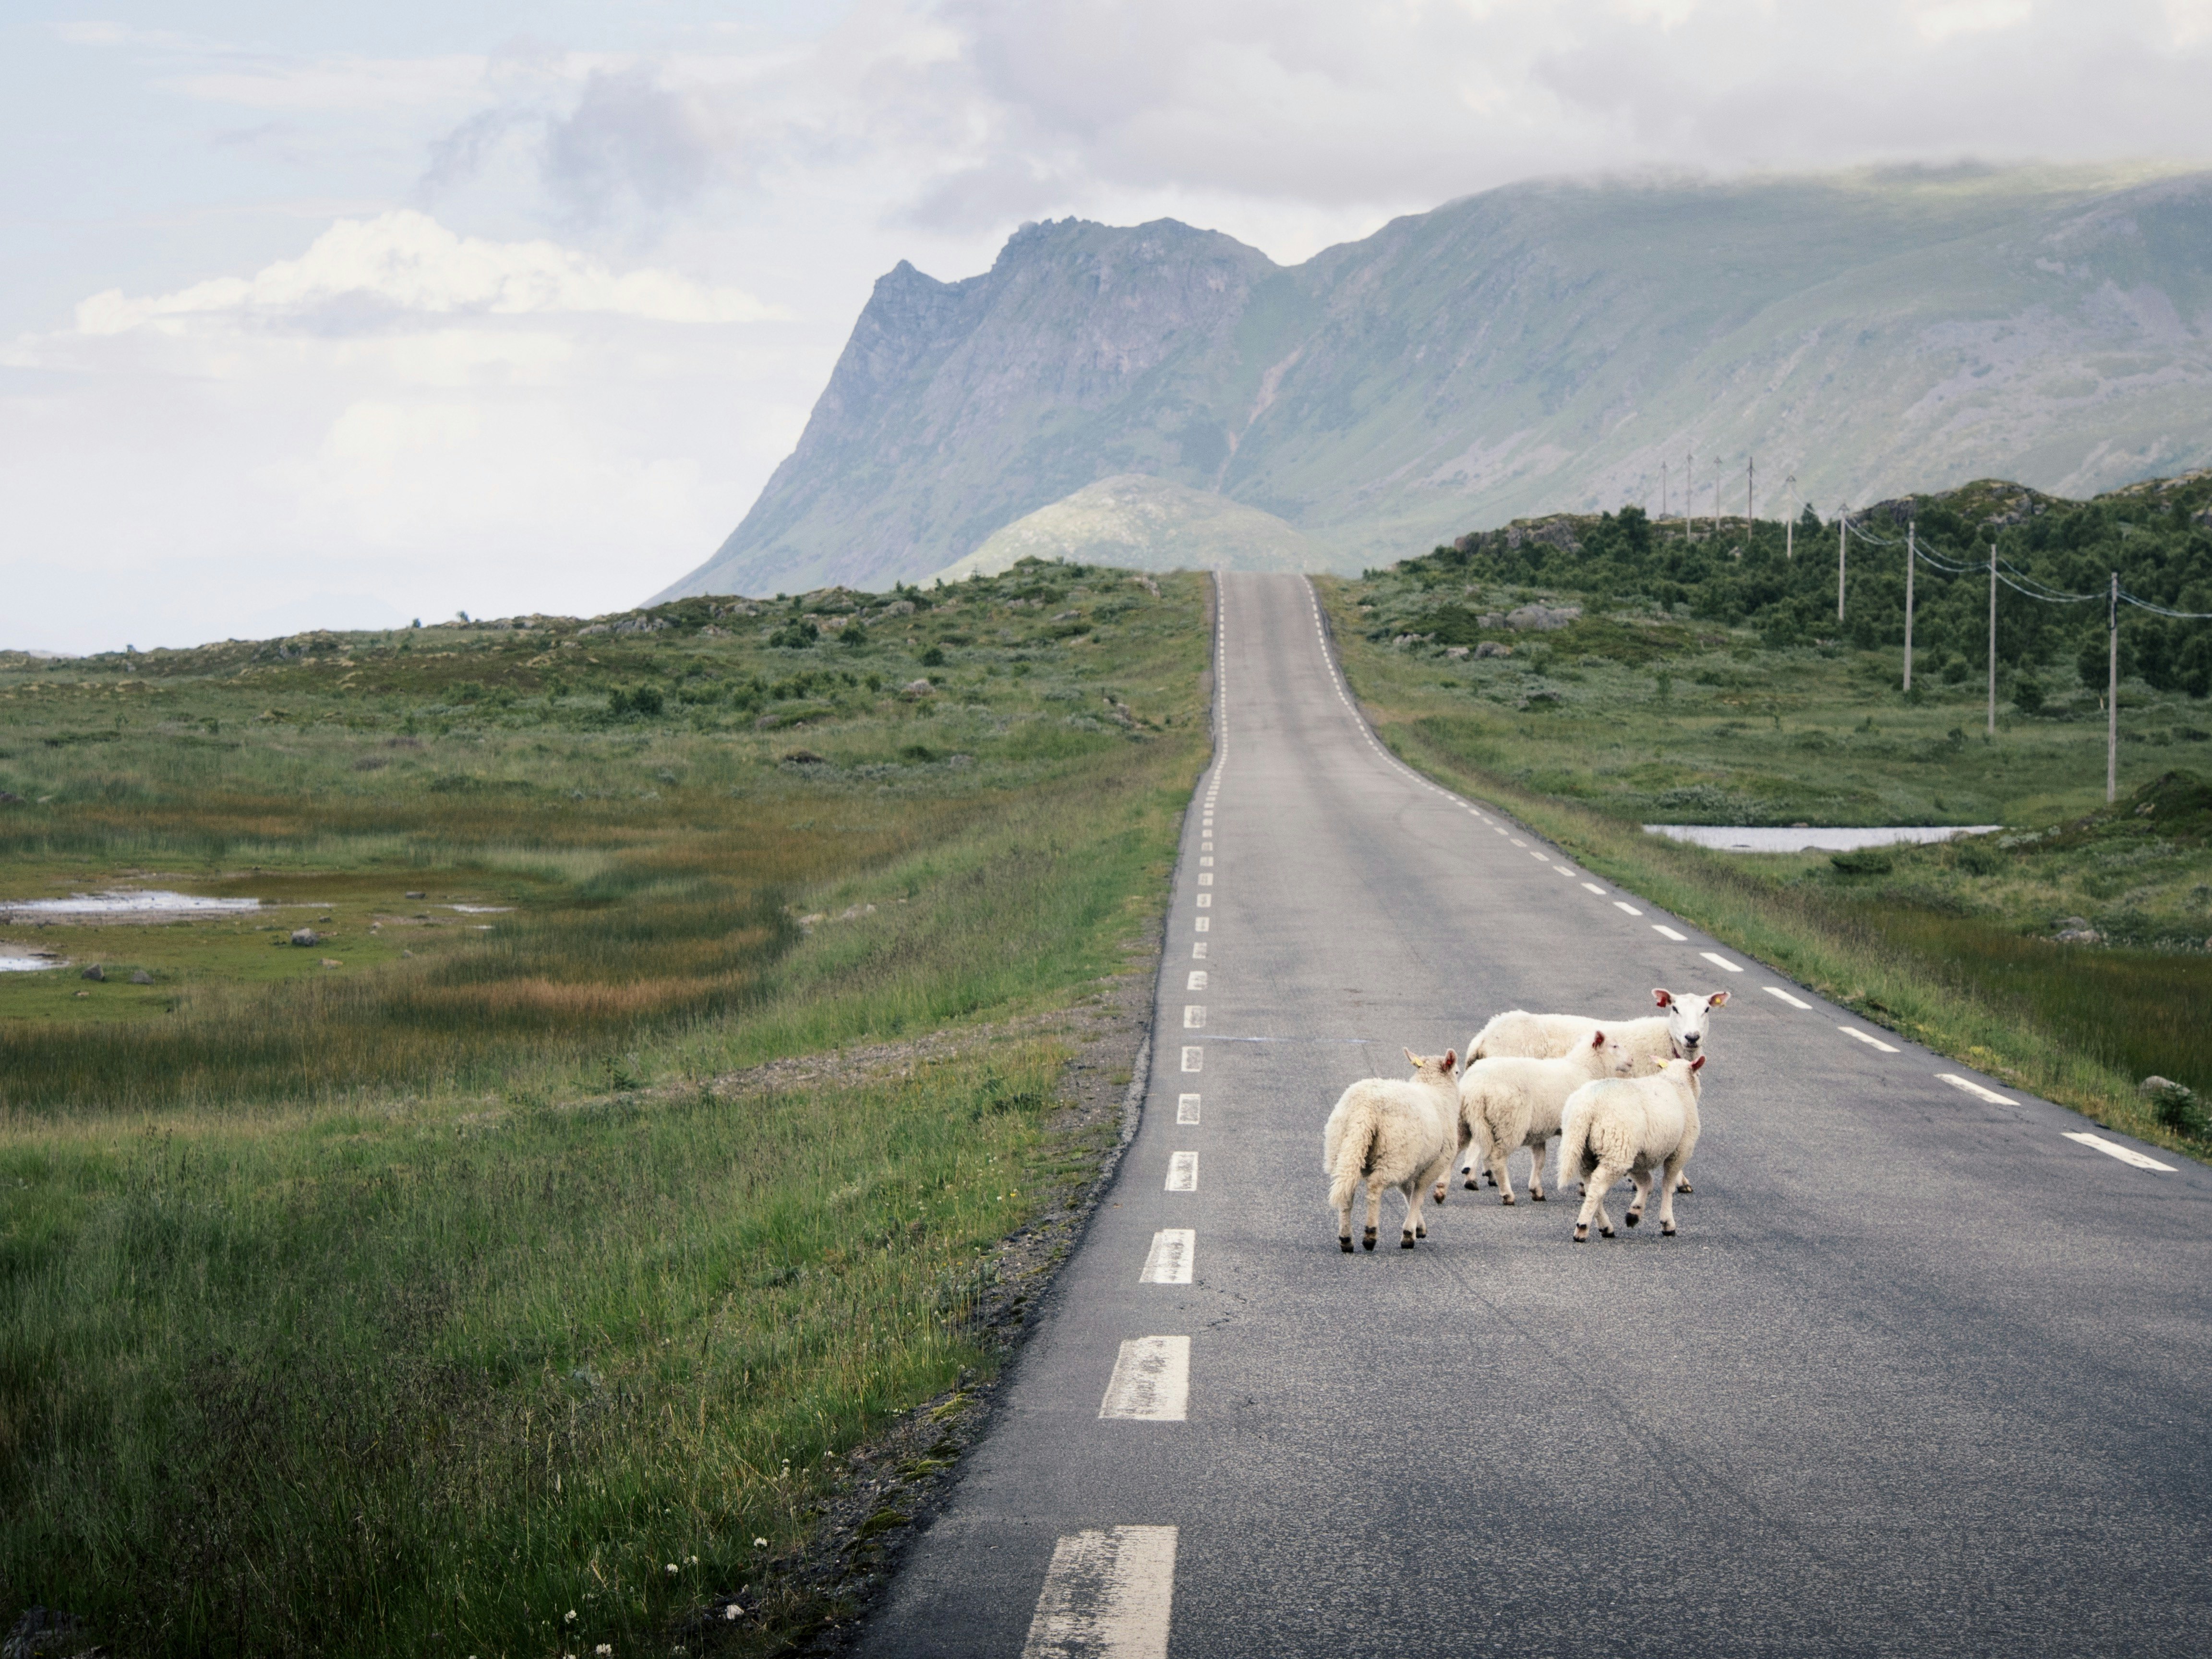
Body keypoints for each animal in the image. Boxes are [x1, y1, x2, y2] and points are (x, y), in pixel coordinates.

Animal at [1318, 1057, 1460, 1256]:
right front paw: (1409, 1234)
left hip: (1344, 1150)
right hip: (1394, 1155)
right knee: (1375, 1188)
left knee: (1346, 1192)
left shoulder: (1413, 1165)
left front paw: (1418, 1228)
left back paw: (1346, 1239)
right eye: (1457, 1072)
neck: (1437, 1090)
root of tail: (1366, 1106)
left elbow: (1408, 1193)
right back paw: (1370, 1235)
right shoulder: (1434, 1165)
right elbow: (1418, 1195)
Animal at [1433, 1026, 1628, 1212]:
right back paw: (1507, 1195)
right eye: (1614, 1046)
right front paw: (1583, 1186)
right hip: (1509, 1123)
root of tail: (1475, 1089)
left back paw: (1441, 1190)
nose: (1631, 1061)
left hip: (1462, 1122)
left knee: (1454, 1152)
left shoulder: (1540, 1129)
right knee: (1497, 1159)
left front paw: (1536, 1190)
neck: (1586, 1069)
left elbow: (1540, 1160)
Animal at [1557, 1057, 1707, 1238]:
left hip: (1586, 1151)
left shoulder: (1639, 1158)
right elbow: (1668, 1185)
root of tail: (1588, 1107)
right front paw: (1667, 1223)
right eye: (1699, 1074)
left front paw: (1634, 1214)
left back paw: (1605, 1226)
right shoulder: (1681, 1150)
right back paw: (1583, 1227)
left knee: (1589, 1184)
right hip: (1618, 1149)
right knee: (1598, 1187)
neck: (1675, 1080)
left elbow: (1646, 1183)